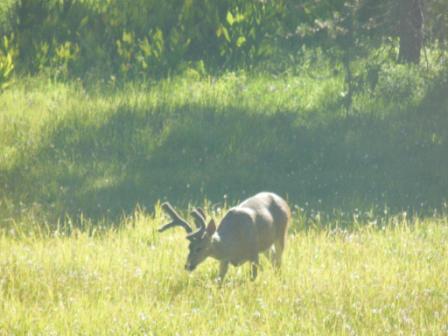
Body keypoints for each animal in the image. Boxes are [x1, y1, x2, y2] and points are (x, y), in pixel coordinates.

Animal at [158, 192, 290, 280]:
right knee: (273, 258)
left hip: (282, 232)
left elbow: (253, 277)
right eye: (189, 247)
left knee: (278, 259)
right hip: (266, 245)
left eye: (199, 248)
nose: (187, 266)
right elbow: (219, 280)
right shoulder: (224, 259)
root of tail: (282, 199)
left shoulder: (254, 252)